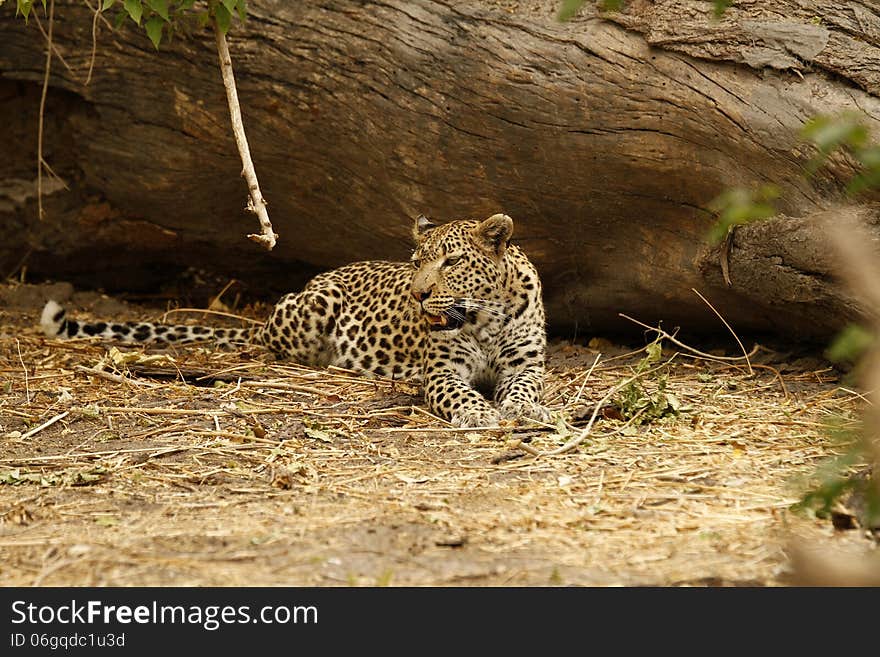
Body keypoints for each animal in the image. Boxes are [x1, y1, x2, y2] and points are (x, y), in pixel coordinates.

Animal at [44, 215, 552, 428]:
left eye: (452, 262)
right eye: (416, 263)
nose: (418, 293)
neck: (484, 318)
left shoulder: (526, 366)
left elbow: (524, 389)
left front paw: (525, 410)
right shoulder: (442, 371)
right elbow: (459, 393)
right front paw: (479, 413)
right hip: (315, 306)